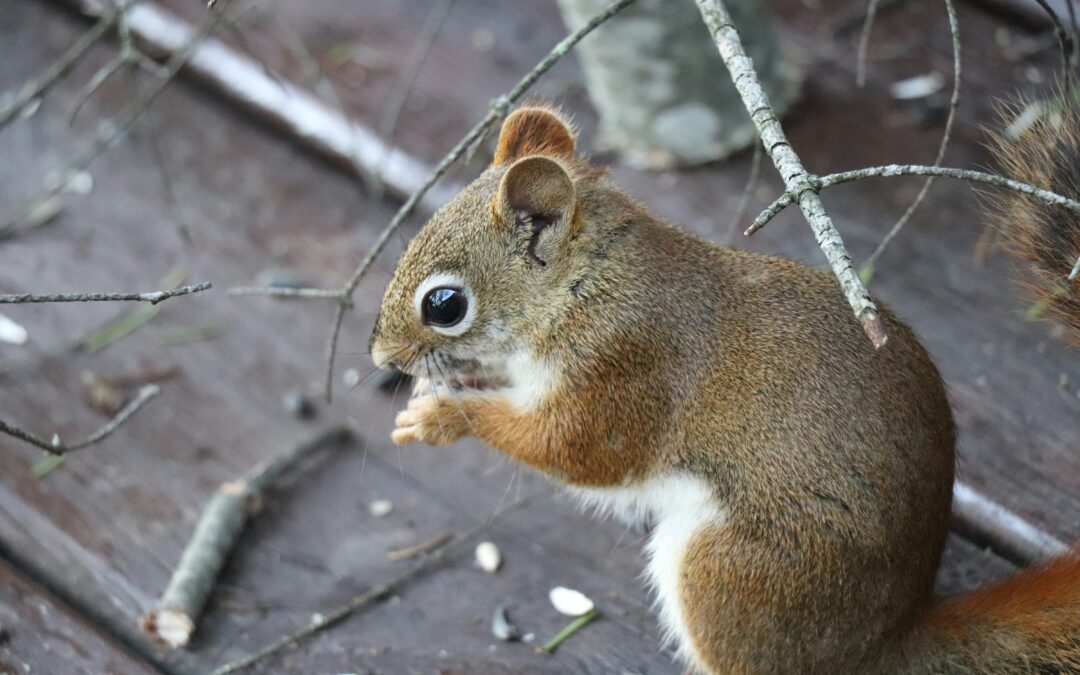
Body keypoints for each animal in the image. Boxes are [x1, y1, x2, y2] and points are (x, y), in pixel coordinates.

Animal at [369, 103, 1080, 674]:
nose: (379, 353)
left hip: (732, 573)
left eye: (444, 304)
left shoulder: (626, 365)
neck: (583, 287)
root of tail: (881, 644)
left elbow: (577, 451)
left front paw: (445, 417)